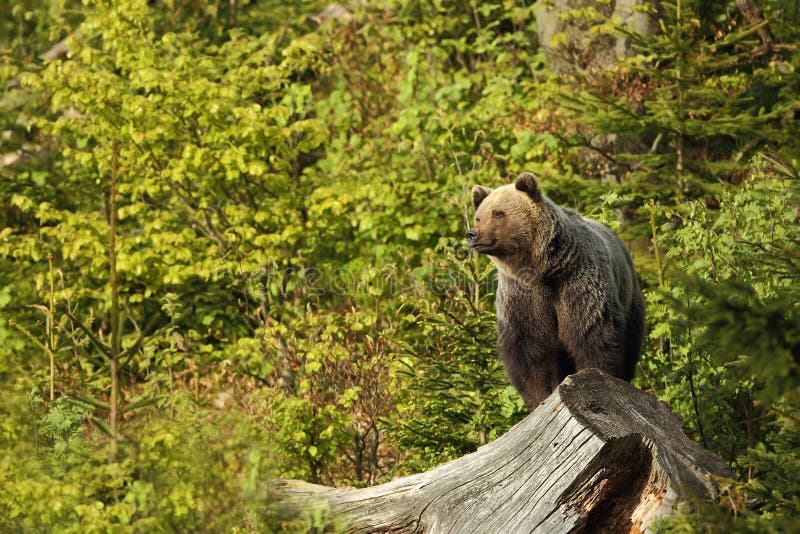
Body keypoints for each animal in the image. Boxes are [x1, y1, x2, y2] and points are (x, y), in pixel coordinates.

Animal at [466, 174, 648, 412]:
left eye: (497, 213)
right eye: (478, 216)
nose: (472, 234)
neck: (541, 271)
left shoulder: (578, 285)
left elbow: (592, 334)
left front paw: (599, 376)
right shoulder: (521, 296)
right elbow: (528, 349)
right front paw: (539, 398)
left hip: (630, 299)